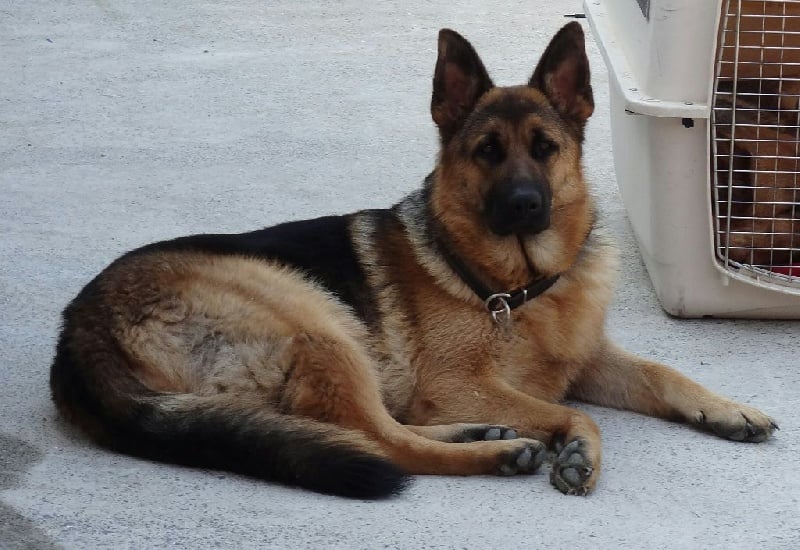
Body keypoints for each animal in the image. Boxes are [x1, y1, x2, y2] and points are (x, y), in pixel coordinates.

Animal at [50, 23, 777, 499]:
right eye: (487, 151)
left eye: (545, 148)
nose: (523, 206)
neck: (514, 289)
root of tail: (77, 336)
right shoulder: (452, 382)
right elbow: (575, 414)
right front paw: (577, 449)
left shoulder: (587, 360)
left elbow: (662, 373)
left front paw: (727, 409)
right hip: (314, 318)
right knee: (382, 441)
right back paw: (501, 450)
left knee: (386, 428)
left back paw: (483, 435)